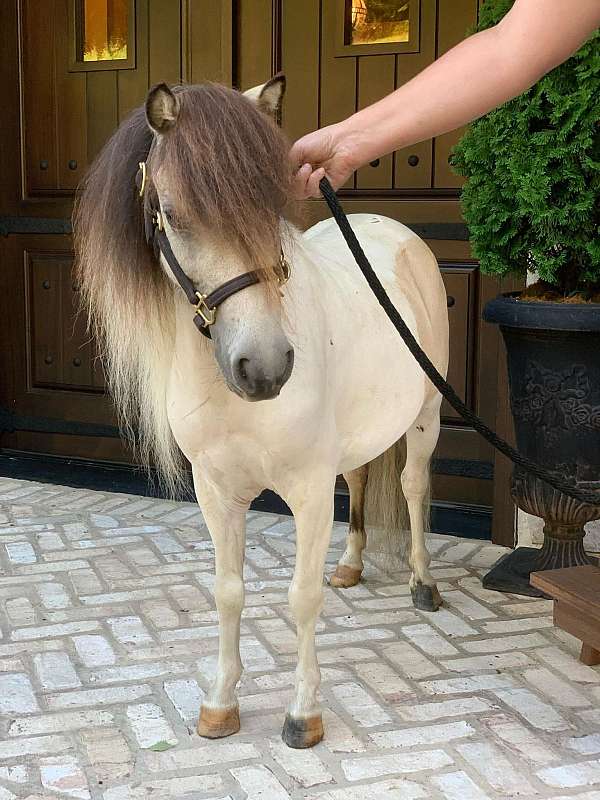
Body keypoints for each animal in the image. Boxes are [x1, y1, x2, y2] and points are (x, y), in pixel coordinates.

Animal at [74, 75, 449, 749]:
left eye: (272, 209)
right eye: (173, 214)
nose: (266, 367)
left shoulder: (307, 491)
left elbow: (301, 598)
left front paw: (303, 715)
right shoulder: (216, 490)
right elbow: (228, 592)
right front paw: (220, 704)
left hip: (426, 416)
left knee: (411, 486)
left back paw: (422, 584)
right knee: (361, 478)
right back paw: (350, 567)